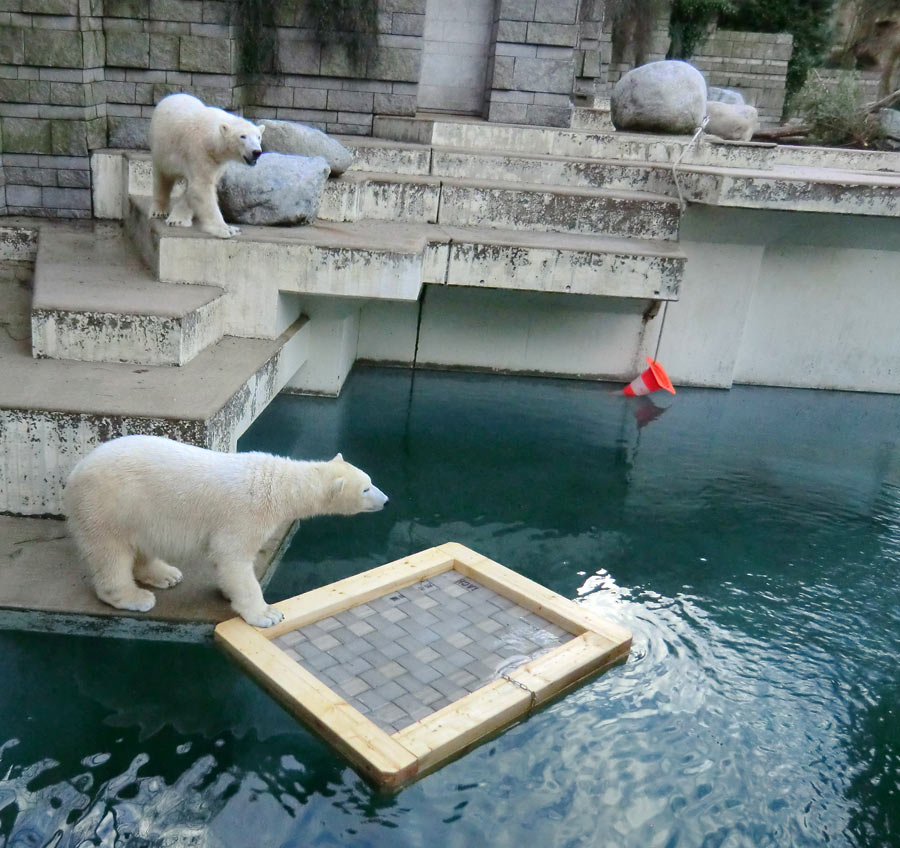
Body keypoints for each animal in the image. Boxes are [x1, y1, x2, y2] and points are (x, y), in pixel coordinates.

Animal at [63, 434, 386, 628]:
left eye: (371, 480)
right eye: (366, 488)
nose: (386, 499)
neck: (277, 485)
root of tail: (76, 470)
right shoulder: (244, 515)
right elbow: (233, 559)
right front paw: (267, 614)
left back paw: (165, 574)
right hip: (108, 504)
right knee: (110, 552)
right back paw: (135, 597)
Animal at [148, 93, 264, 238]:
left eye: (258, 137)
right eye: (243, 136)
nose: (256, 152)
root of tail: (172, 95)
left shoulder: (217, 162)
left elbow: (195, 189)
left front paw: (178, 219)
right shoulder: (199, 151)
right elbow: (202, 187)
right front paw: (227, 229)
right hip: (162, 148)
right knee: (162, 178)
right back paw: (159, 211)